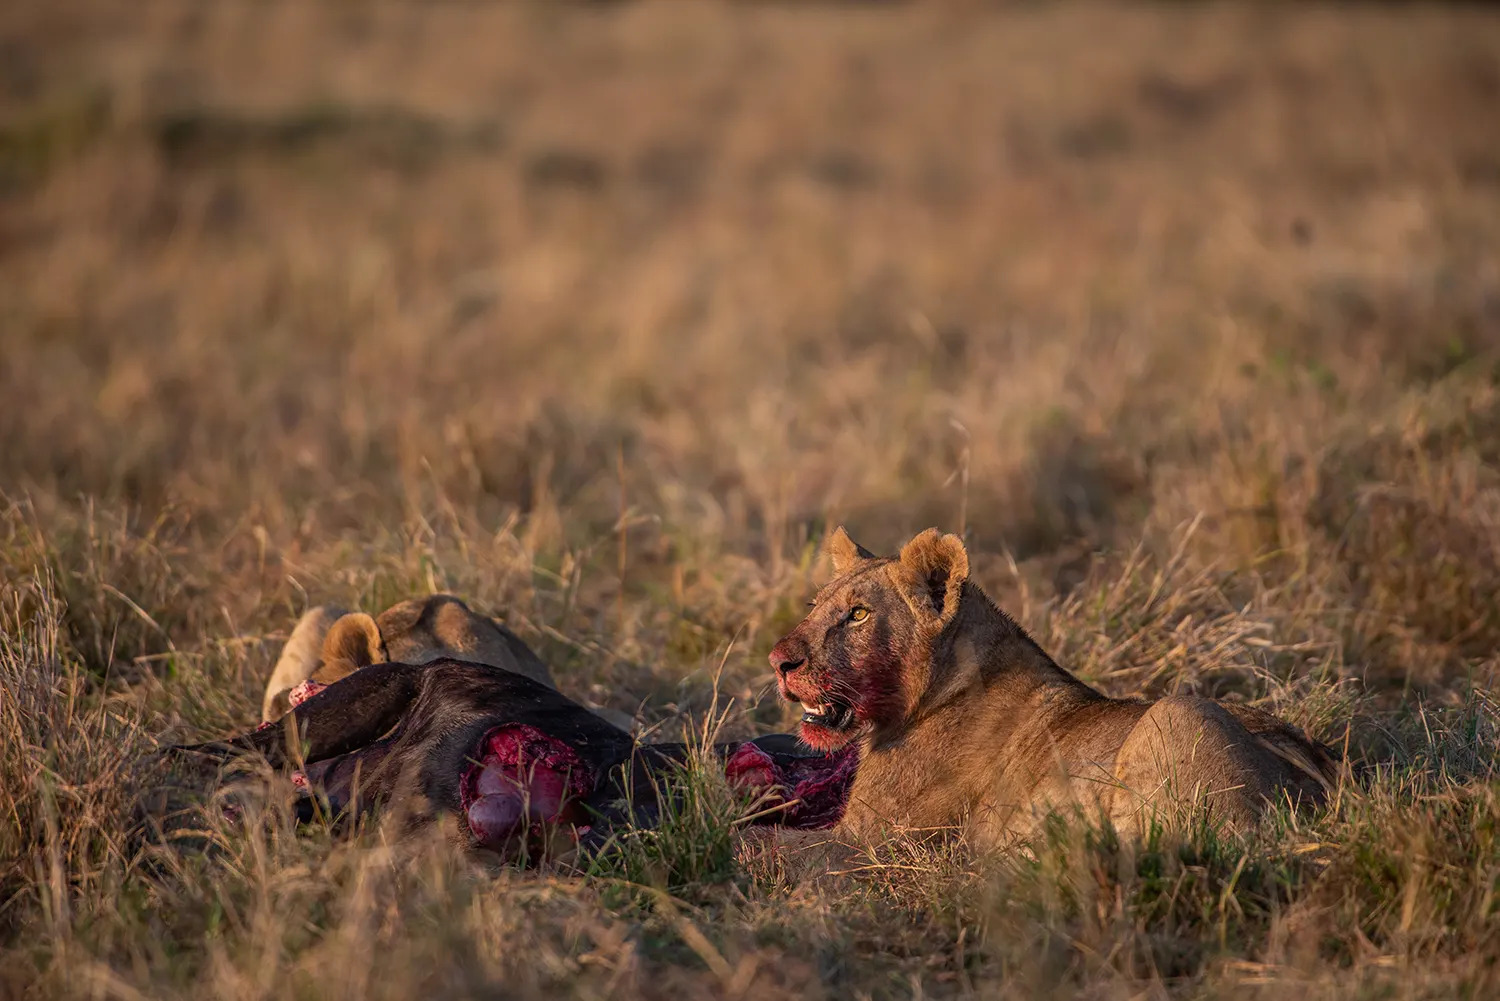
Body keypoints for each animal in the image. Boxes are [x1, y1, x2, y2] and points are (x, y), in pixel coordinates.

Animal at [768, 528, 1344, 852]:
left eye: (859, 614)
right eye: (816, 605)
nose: (778, 662)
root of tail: (1329, 787)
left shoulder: (869, 842)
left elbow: (769, 847)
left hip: (1180, 712)